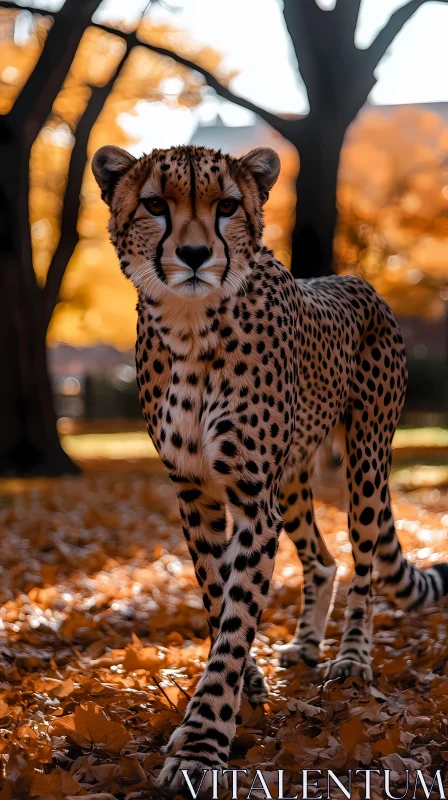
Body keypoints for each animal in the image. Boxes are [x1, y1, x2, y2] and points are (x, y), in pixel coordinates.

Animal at [92, 145, 448, 792]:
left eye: (227, 206)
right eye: (155, 204)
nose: (194, 254)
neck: (190, 324)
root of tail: (356, 280)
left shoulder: (253, 499)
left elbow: (236, 616)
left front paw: (203, 743)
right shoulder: (197, 493)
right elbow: (218, 597)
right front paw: (247, 686)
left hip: (365, 461)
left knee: (363, 567)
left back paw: (351, 658)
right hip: (295, 478)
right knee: (323, 560)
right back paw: (306, 647)